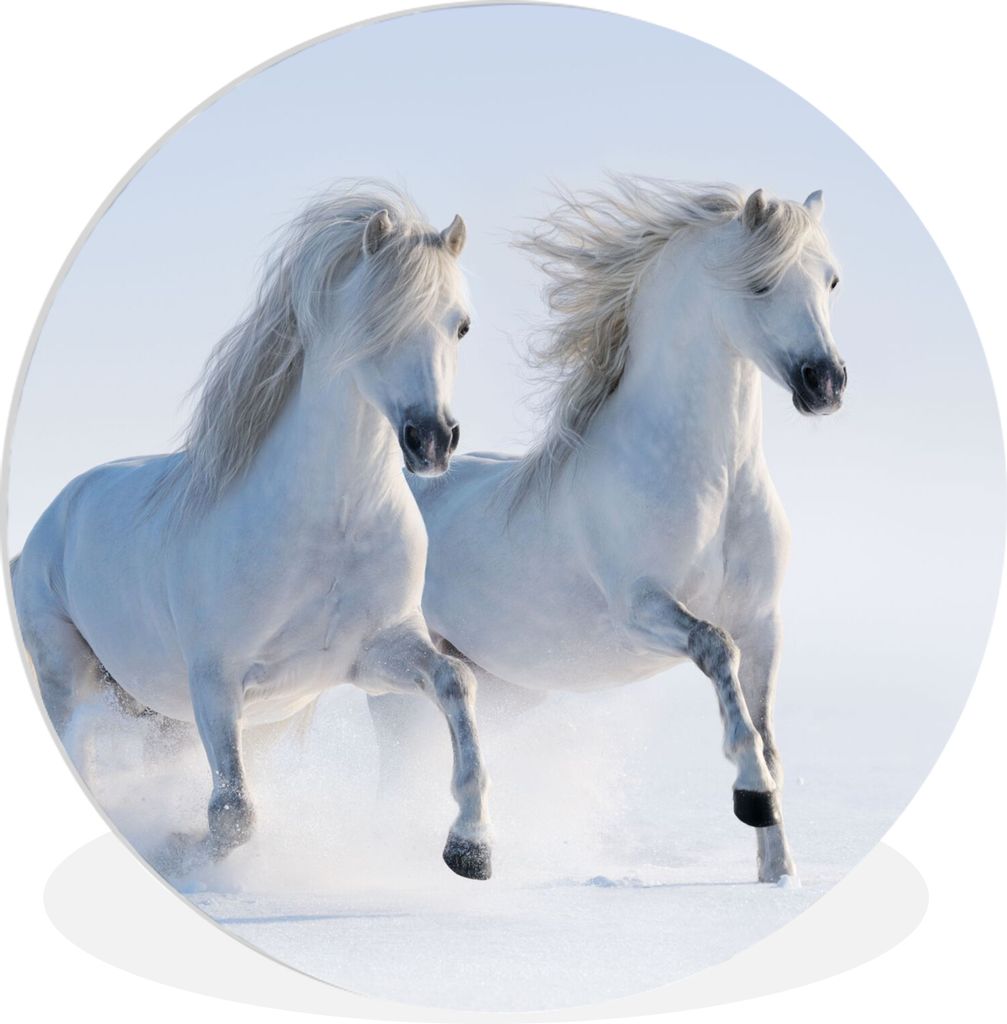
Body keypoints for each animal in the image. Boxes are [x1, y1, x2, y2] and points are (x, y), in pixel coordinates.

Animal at [11, 182, 493, 880]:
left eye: (460, 324)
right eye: (377, 321)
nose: (431, 440)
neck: (330, 526)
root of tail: (49, 522)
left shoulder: (372, 656)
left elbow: (456, 681)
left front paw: (471, 846)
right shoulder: (215, 682)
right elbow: (232, 816)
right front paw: (183, 852)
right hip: (68, 678)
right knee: (86, 752)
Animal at [372, 177, 847, 885]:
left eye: (831, 280)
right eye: (760, 284)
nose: (826, 383)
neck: (715, 481)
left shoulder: (764, 622)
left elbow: (768, 735)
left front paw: (777, 872)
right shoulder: (642, 609)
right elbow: (717, 652)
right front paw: (751, 798)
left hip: (505, 686)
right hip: (396, 681)